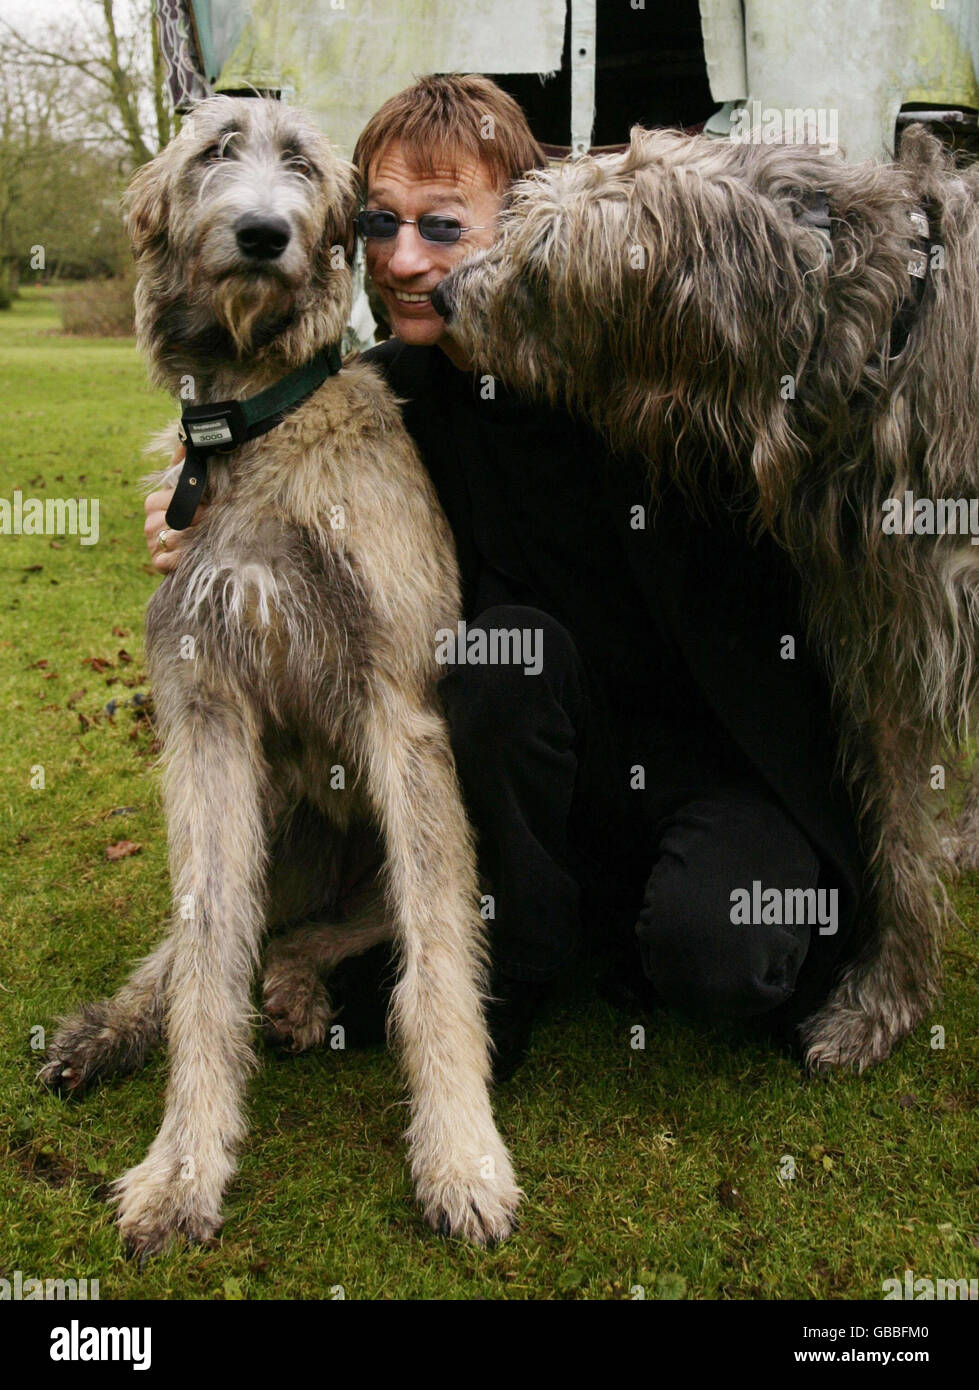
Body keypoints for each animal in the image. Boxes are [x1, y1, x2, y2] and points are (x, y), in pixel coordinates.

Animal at [38, 92, 520, 1256]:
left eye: (301, 165)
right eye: (217, 152)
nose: (261, 233)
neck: (254, 423)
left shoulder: (403, 713)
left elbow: (437, 962)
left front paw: (461, 1153)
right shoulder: (204, 713)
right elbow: (207, 946)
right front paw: (182, 1165)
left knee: (327, 932)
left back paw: (301, 992)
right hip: (270, 825)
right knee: (207, 937)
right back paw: (109, 1027)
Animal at [433, 122, 979, 1073]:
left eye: (541, 270)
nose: (445, 295)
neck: (878, 329)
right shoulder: (882, 633)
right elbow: (895, 830)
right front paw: (882, 1002)